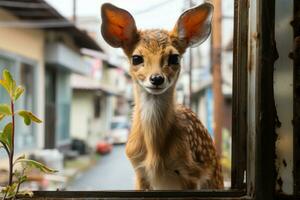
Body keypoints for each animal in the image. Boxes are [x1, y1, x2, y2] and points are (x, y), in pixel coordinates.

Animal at [101, 1, 223, 189]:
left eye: (174, 58)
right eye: (136, 58)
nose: (157, 78)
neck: (155, 153)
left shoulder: (192, 173)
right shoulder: (139, 170)